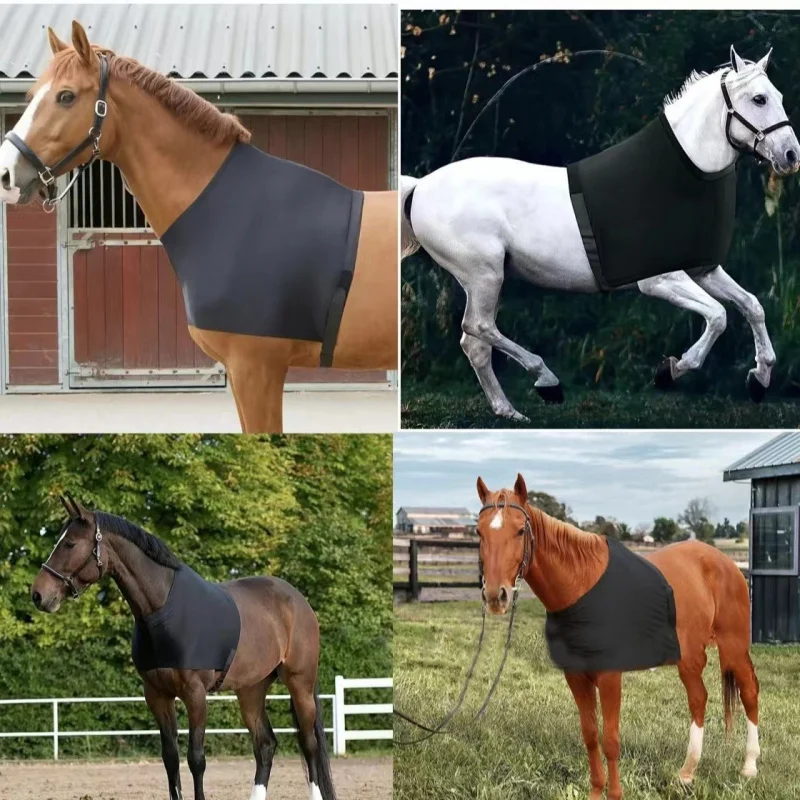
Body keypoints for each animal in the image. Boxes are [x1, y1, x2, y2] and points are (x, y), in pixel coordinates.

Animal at [0, 21, 397, 433]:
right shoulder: (243, 373)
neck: (233, 213)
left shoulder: (256, 368)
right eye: (31, 94)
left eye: (66, 96)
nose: (7, 175)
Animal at [30, 495, 334, 800]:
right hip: (251, 690)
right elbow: (170, 758)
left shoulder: (195, 695)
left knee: (309, 743)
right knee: (265, 745)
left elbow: (196, 759)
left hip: (300, 683)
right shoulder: (157, 695)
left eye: (70, 544)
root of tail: (298, 600)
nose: (38, 595)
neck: (163, 609)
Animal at [401, 47, 800, 422]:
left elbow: (752, 305)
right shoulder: (661, 280)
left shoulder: (704, 270)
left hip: (489, 280)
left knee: (475, 342)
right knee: (479, 327)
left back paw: (509, 410)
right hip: (484, 276)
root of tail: (420, 187)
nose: (791, 155)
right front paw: (670, 370)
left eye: (779, 95)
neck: (676, 180)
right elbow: (718, 316)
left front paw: (759, 379)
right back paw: (547, 381)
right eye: (759, 99)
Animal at [475, 474, 758, 800]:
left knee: (749, 692)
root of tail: (727, 564)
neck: (582, 586)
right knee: (698, 699)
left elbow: (610, 740)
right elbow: (590, 735)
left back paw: (749, 767)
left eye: (520, 530)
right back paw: (687, 773)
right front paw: (595, 791)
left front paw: (614, 793)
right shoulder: (576, 676)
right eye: (479, 532)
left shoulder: (610, 677)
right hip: (688, 656)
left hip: (732, 646)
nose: (495, 596)